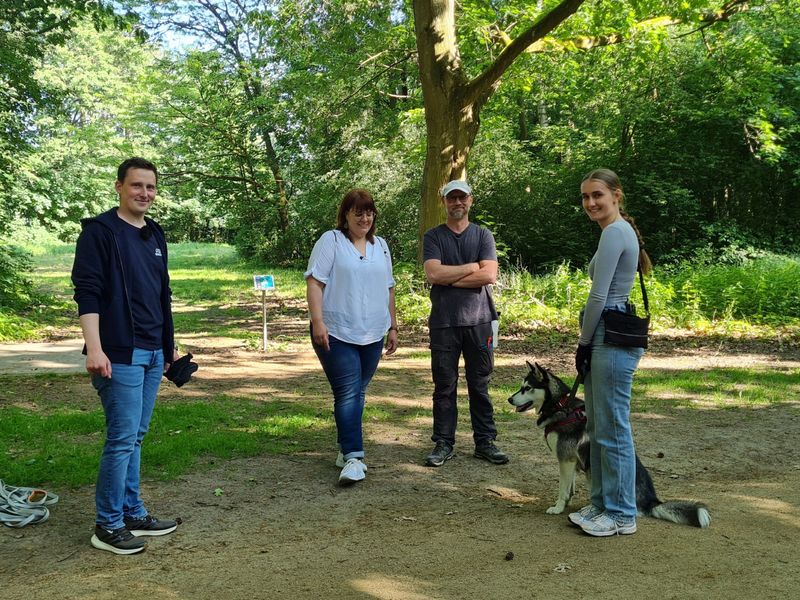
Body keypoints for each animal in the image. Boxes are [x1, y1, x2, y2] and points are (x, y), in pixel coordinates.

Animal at [510, 358, 708, 528]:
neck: (560, 406)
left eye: (527, 388)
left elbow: (562, 489)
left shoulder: (565, 459)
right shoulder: (571, 461)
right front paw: (566, 504)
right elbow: (570, 487)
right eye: (521, 387)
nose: (509, 399)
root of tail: (651, 502)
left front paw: (557, 507)